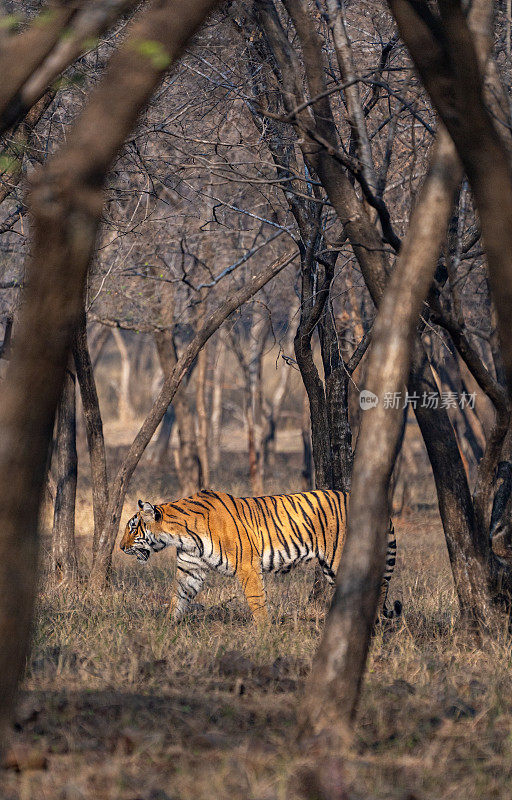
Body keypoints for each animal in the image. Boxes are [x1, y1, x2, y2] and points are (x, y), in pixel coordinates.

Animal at [119, 488, 400, 624]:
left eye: (132, 528)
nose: (120, 548)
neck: (181, 535)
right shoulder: (191, 569)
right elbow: (179, 597)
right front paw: (166, 627)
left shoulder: (247, 566)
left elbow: (257, 602)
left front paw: (265, 634)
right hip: (332, 568)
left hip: (341, 559)